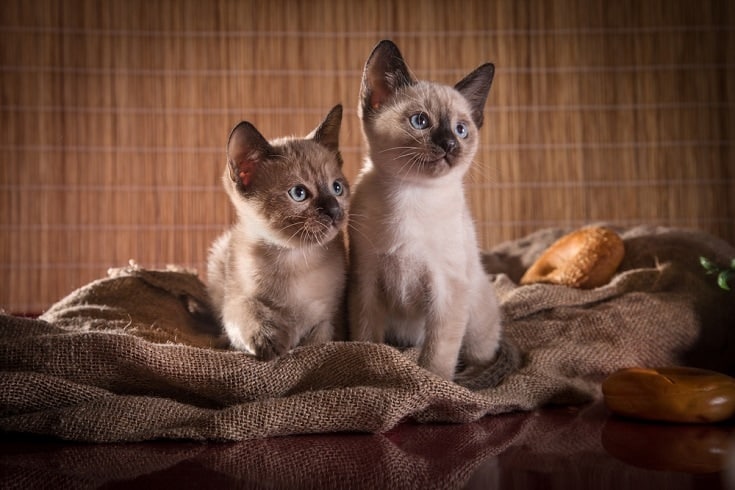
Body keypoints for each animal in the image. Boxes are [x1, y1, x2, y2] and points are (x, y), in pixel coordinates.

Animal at [207, 104, 350, 360]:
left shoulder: (332, 315)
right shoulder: (235, 300)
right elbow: (246, 312)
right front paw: (268, 343)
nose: (335, 212)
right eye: (299, 193)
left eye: (337, 188)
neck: (295, 259)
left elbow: (319, 339)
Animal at [348, 39, 504, 382]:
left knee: (481, 353)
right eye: (420, 121)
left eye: (461, 129)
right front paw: (371, 370)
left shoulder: (446, 288)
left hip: (475, 312)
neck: (411, 194)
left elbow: (437, 356)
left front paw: (432, 385)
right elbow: (366, 339)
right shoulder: (366, 281)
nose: (449, 145)